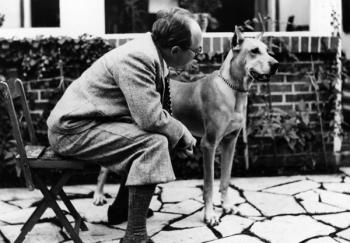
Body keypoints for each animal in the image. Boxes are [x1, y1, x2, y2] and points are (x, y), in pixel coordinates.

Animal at [93, 27, 278, 227]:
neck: (232, 90)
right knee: (103, 168)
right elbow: (209, 185)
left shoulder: (231, 142)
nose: (276, 64)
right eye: (254, 51)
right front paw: (210, 215)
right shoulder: (209, 144)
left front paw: (227, 206)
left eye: (267, 50)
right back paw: (98, 196)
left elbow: (225, 180)